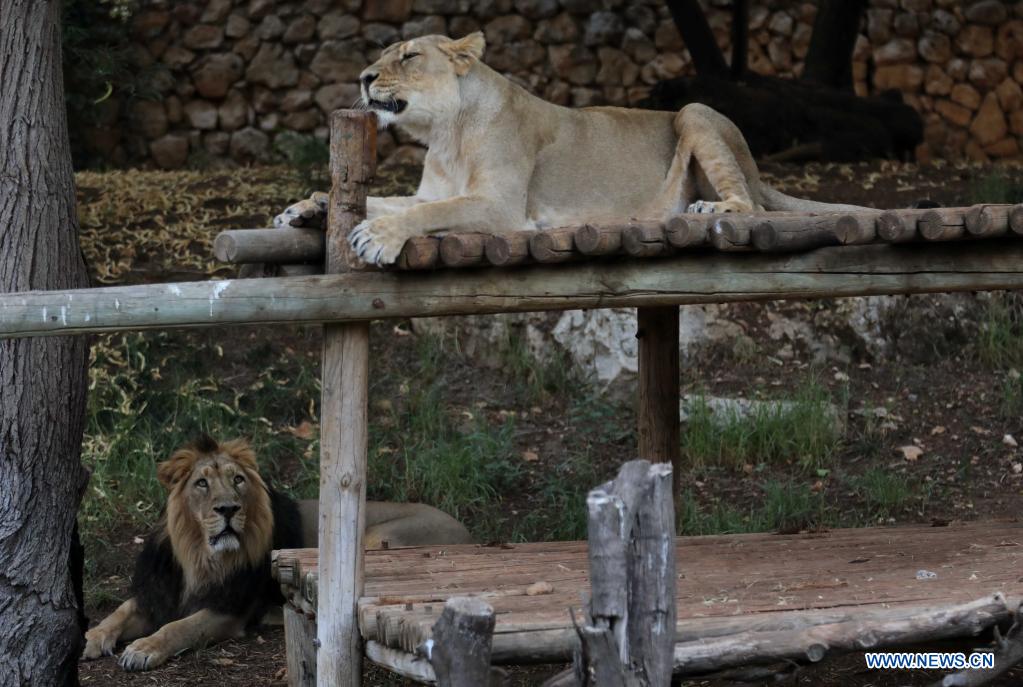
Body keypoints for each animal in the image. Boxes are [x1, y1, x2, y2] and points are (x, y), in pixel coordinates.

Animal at [80, 435, 470, 670]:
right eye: (202, 483)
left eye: (238, 480)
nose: (228, 509)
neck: (198, 556)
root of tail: (468, 531)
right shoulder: (157, 593)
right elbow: (120, 611)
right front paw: (91, 638)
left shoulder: (228, 610)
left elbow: (178, 628)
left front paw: (142, 649)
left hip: (377, 536)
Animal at [272, 33, 863, 267]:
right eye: (383, 55)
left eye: (410, 56)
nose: (364, 77)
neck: (445, 135)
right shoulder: (430, 191)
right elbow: (391, 201)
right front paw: (306, 207)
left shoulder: (501, 208)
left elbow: (429, 214)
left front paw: (377, 237)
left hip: (695, 111)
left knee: (751, 205)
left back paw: (708, 207)